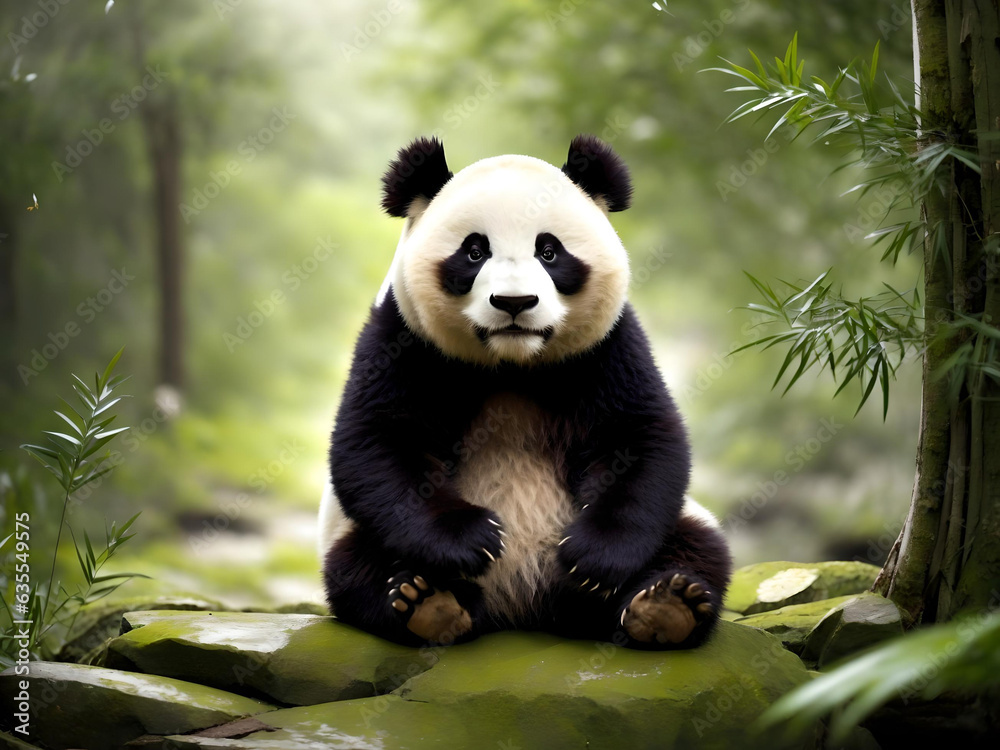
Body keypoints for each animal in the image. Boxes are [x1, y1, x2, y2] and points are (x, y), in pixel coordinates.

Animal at [319, 135, 731, 650]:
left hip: (678, 525)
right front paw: (471, 539)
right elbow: (379, 440)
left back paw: (665, 606)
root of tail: (523, 608)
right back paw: (430, 603)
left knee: (697, 544)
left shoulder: (607, 347)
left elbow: (638, 436)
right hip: (351, 535)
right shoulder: (403, 340)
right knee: (355, 569)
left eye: (549, 252)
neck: (512, 366)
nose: (514, 303)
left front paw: (592, 557)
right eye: (474, 252)